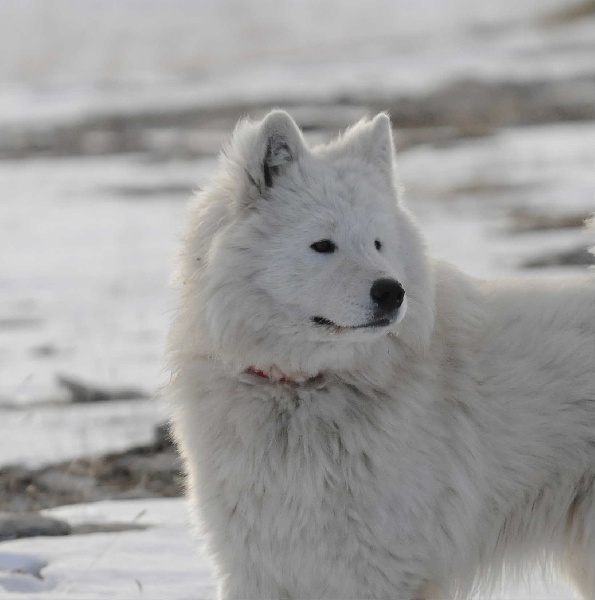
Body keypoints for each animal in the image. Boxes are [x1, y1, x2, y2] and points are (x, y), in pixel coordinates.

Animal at [166, 110, 595, 596]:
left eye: (377, 243)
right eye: (323, 244)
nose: (392, 292)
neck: (302, 391)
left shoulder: (382, 570)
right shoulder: (257, 569)